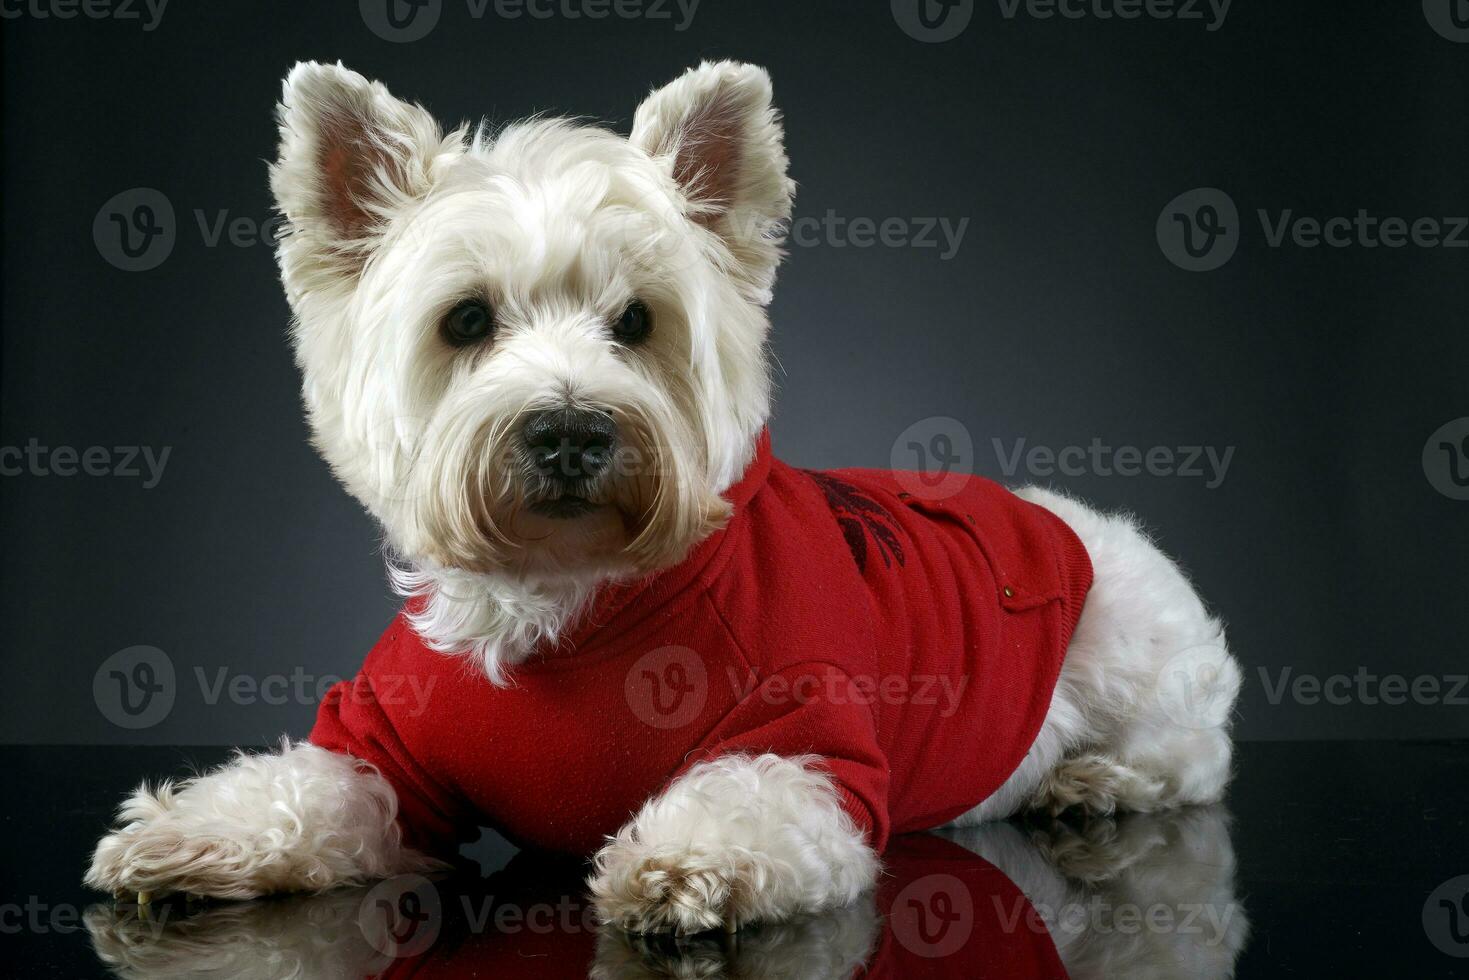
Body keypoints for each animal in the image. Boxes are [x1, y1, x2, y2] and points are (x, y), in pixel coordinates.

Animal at [88, 59, 1239, 934]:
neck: (562, 605)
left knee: (1191, 754)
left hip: (1130, 651)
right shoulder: (382, 746)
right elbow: (303, 787)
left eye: (637, 322)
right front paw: (192, 832)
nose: (568, 429)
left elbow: (745, 798)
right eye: (466, 321)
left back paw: (1094, 783)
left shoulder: (807, 732)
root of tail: (1074, 520)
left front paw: (684, 867)